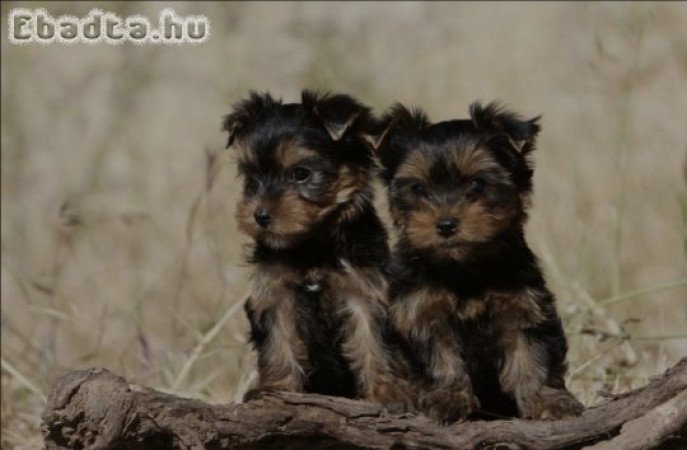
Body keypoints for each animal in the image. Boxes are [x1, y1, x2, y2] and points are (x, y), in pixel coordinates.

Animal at [226, 89, 416, 412]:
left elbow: (374, 342)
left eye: (301, 173)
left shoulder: (364, 290)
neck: (313, 242)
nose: (260, 215)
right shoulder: (276, 292)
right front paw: (276, 388)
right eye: (251, 178)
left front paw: (386, 393)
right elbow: (279, 342)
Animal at [370, 101, 584, 422]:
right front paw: (448, 398)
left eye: (478, 183)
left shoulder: (523, 306)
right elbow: (441, 358)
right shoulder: (421, 311)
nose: (446, 225)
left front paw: (548, 401)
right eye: (418, 188)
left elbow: (531, 355)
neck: (463, 268)